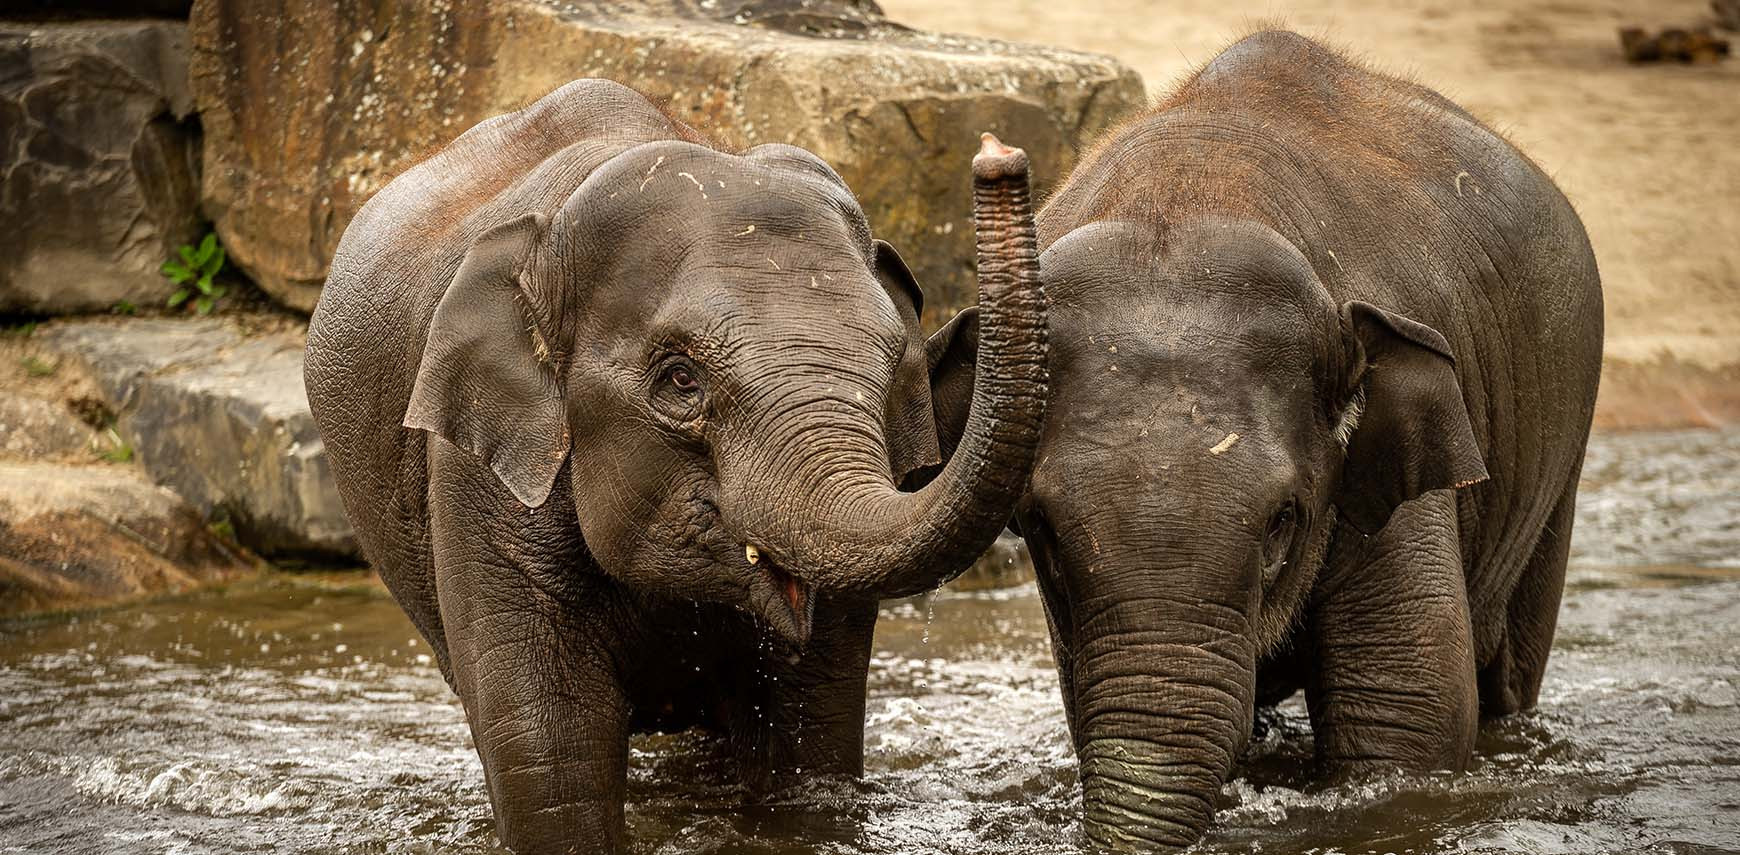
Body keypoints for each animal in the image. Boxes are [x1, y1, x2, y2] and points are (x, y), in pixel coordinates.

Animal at [302, 77, 1044, 853]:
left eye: (896, 364)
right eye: (681, 380)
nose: (996, 152)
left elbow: (811, 733)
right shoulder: (477, 475)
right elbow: (549, 760)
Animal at [925, 30, 1600, 853]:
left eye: (1284, 520)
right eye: (1041, 531)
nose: (996, 153)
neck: (1195, 190)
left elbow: (1407, 712)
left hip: (1562, 452)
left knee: (1508, 671)